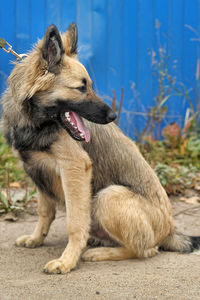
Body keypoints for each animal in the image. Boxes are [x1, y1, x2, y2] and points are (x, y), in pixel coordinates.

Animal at [0, 22, 200, 274]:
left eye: (91, 86)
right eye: (81, 88)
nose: (114, 116)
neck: (35, 121)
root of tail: (169, 231)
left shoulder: (75, 168)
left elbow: (75, 222)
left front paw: (67, 260)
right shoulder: (37, 171)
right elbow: (45, 212)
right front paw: (36, 239)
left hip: (109, 196)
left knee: (146, 250)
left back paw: (99, 253)